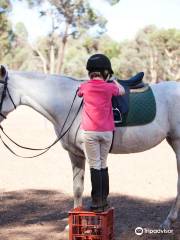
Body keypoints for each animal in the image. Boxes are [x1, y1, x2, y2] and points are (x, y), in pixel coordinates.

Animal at [0, 66, 180, 229]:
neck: (70, 104)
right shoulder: (75, 154)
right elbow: (78, 188)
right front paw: (72, 224)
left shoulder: (90, 151)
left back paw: (168, 220)